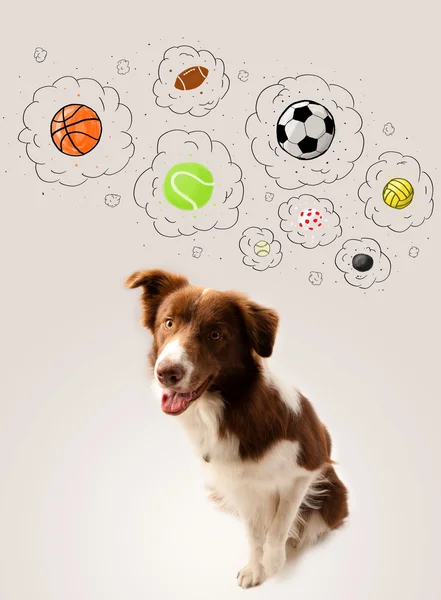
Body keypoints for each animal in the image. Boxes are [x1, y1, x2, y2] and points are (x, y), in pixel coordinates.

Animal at [125, 270, 348, 588]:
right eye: (168, 323)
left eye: (215, 335)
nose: (166, 373)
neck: (225, 411)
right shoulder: (240, 486)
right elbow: (255, 534)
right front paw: (255, 569)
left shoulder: (306, 467)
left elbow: (281, 522)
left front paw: (274, 561)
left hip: (333, 499)